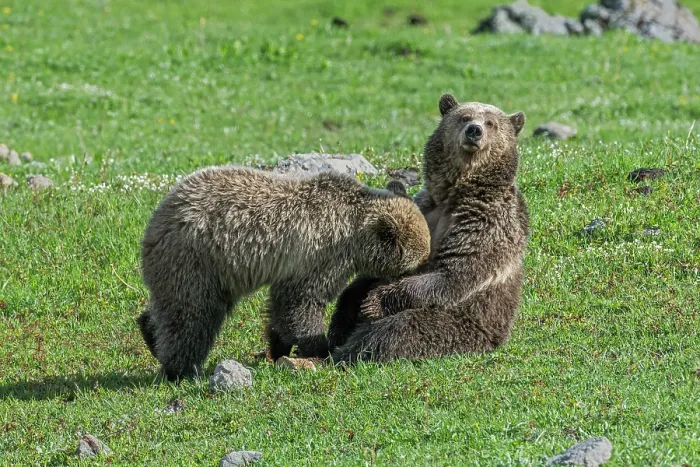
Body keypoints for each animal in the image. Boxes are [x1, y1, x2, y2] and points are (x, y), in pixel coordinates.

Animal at [138, 165, 431, 380]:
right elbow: (301, 302)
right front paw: (319, 348)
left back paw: (149, 331)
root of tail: (156, 220)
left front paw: (278, 347)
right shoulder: (321, 254)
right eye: (413, 263)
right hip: (199, 260)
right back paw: (180, 369)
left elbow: (282, 308)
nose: (419, 271)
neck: (355, 233)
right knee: (192, 316)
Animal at [327, 94, 530, 363]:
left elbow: (452, 273)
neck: (454, 193)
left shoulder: (484, 222)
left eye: (491, 123)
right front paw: (351, 302)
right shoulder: (424, 209)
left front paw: (375, 301)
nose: (474, 131)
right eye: (465, 117)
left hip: (460, 324)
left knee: (396, 331)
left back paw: (346, 352)